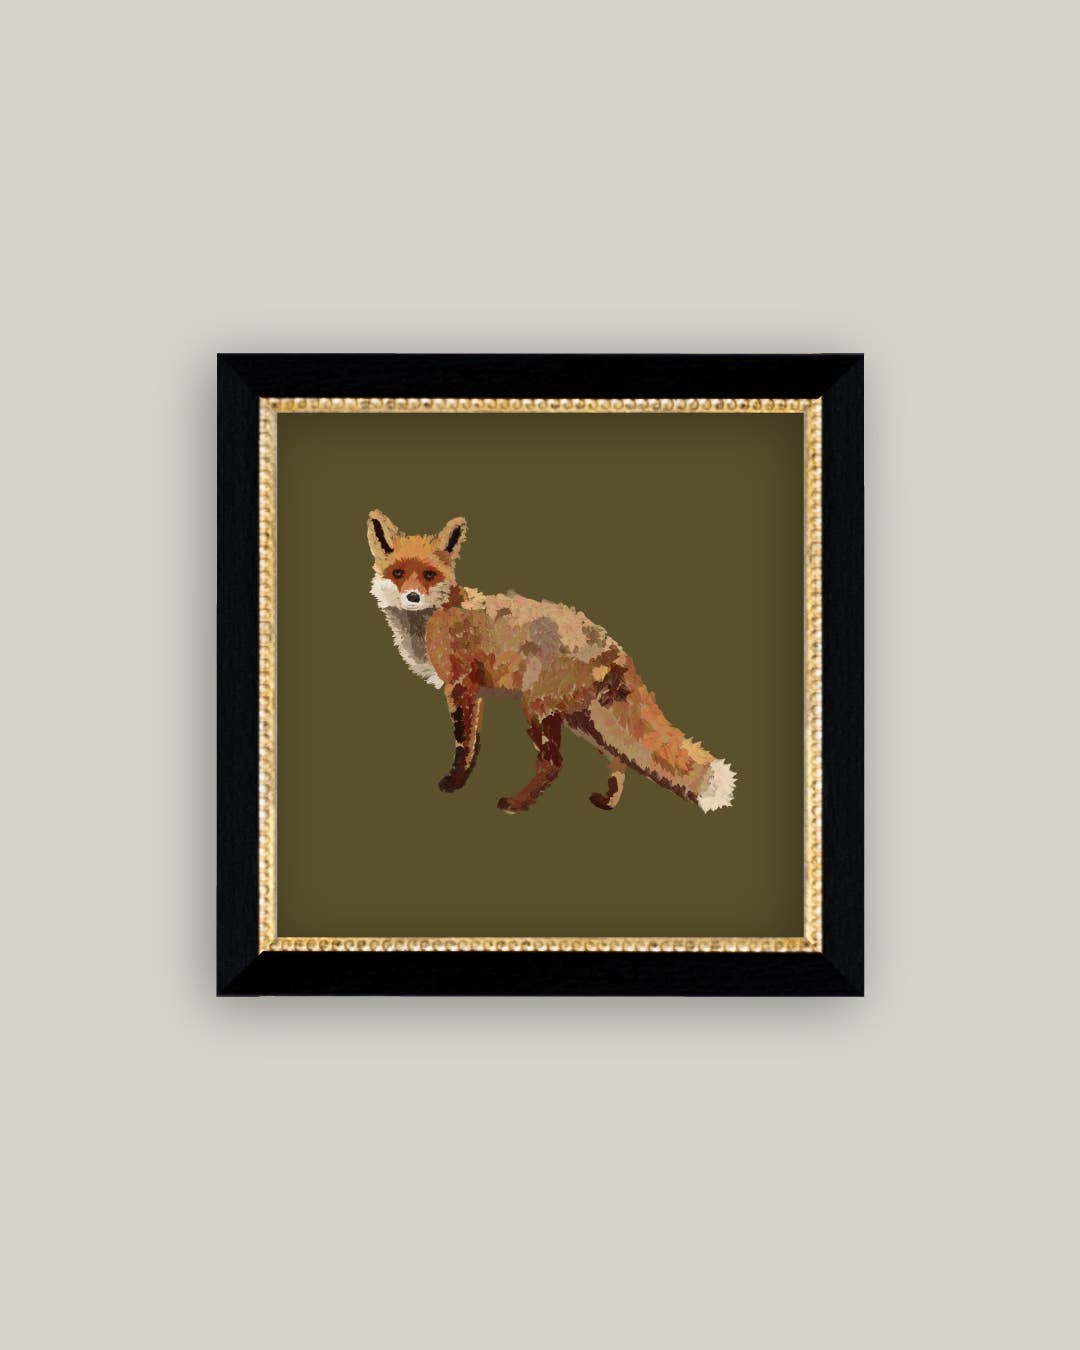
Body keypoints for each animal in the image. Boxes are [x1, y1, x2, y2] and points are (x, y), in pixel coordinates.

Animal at [367, 509, 736, 815]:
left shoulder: (462, 686)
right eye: (398, 573)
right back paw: (607, 802)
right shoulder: (474, 692)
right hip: (582, 719)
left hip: (539, 709)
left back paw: (516, 805)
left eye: (429, 575)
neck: (432, 618)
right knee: (619, 759)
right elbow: (473, 742)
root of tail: (612, 645)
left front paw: (455, 783)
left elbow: (465, 744)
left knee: (553, 763)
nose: (412, 596)